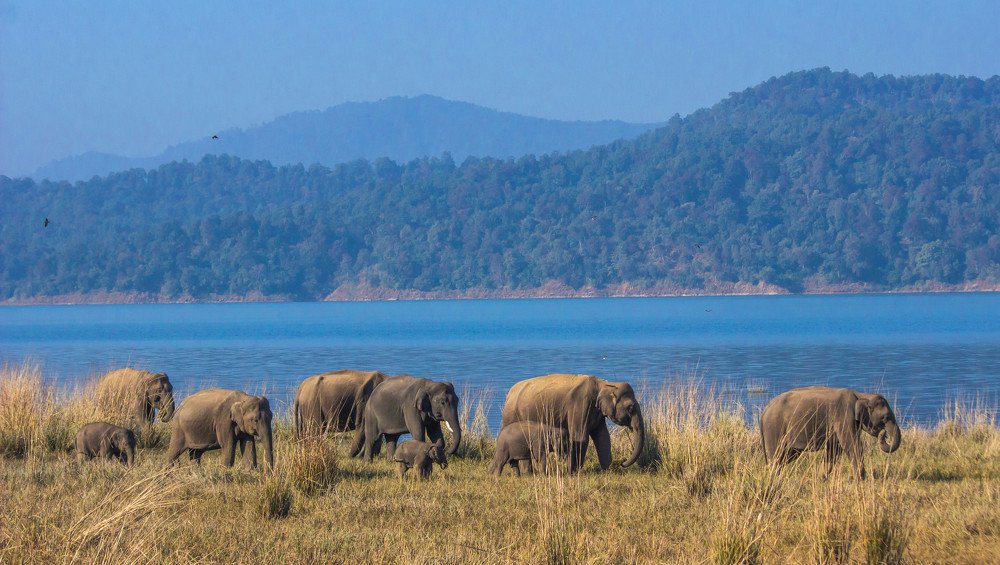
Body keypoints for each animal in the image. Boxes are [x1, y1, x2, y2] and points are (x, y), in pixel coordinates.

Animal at [500, 374, 645, 473]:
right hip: (511, 415)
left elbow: (602, 437)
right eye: (631, 407)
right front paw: (574, 472)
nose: (622, 462)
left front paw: (607, 471)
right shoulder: (580, 406)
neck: (603, 384)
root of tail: (508, 394)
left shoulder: (596, 413)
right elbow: (580, 438)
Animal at [759, 386, 902, 479]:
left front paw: (822, 478)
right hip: (774, 429)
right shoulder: (844, 416)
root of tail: (765, 410)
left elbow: (834, 449)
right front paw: (861, 478)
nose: (883, 433)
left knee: (786, 456)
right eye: (886, 417)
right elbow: (851, 444)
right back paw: (775, 479)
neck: (862, 395)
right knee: (776, 457)